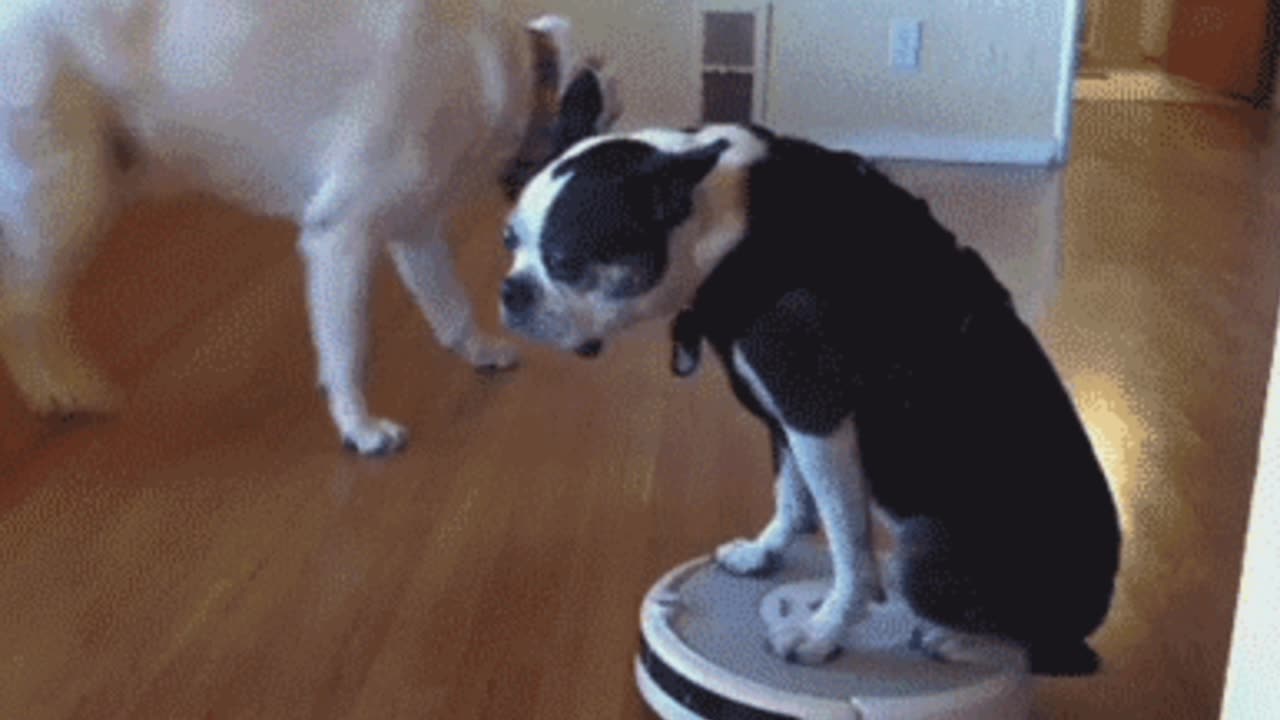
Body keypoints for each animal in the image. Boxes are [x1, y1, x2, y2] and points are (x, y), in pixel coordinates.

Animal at [499, 124, 1121, 671]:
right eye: (510, 242)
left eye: (565, 261)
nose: (510, 290)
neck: (727, 224)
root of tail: (1095, 608)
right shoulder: (782, 415)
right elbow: (792, 494)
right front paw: (765, 551)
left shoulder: (814, 412)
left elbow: (849, 547)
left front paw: (825, 631)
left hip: (925, 554)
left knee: (1026, 640)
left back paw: (957, 639)